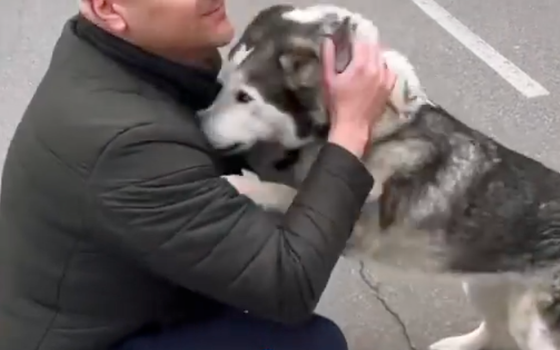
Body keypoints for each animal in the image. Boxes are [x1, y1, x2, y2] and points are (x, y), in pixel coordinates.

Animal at [200, 4, 560, 348]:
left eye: (245, 97)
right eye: (222, 84)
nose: (198, 123)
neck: (376, 124)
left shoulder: (360, 229)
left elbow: (291, 194)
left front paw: (246, 185)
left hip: (533, 324)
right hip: (485, 285)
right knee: (497, 331)